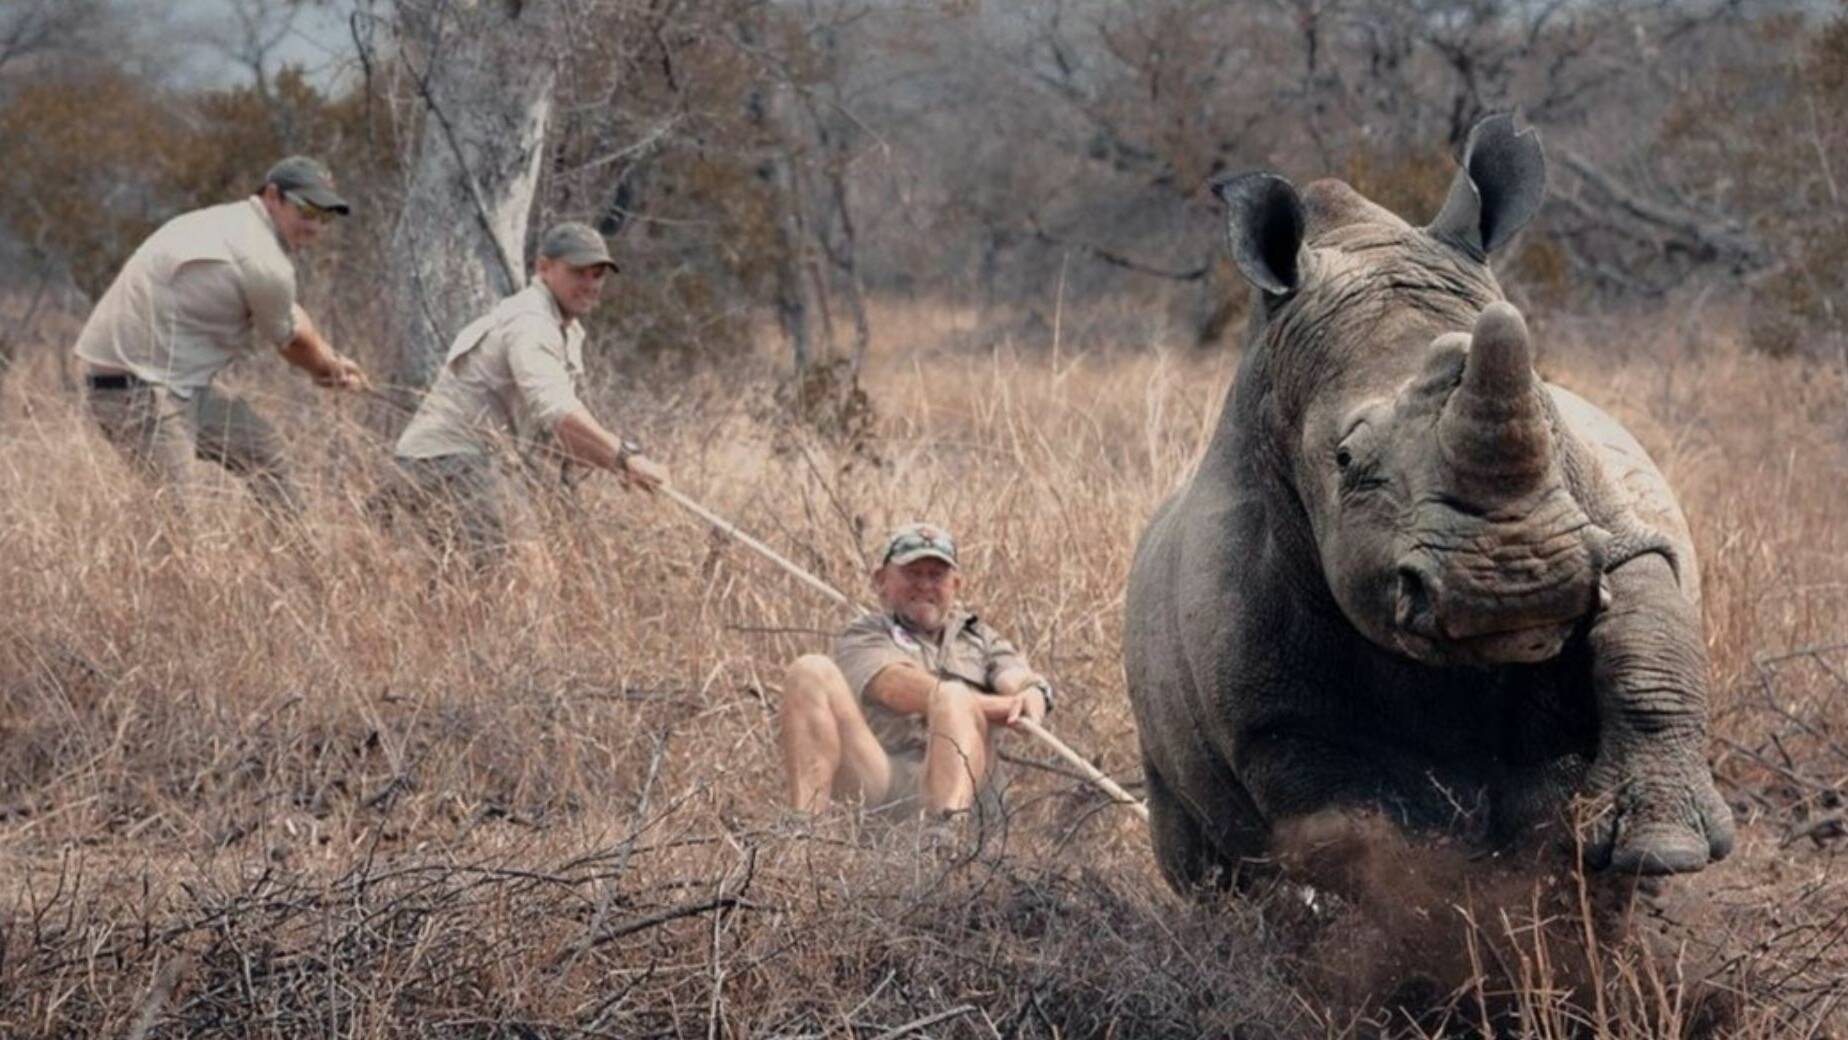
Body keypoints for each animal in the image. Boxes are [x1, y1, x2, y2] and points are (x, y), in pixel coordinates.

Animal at [1124, 114, 1734, 892]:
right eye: (1345, 460)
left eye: (1549, 415)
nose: (1518, 586)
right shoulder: (1267, 706)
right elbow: (1353, 808)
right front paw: (1437, 890)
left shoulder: (1614, 525)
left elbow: (1649, 632)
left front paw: (1662, 847)